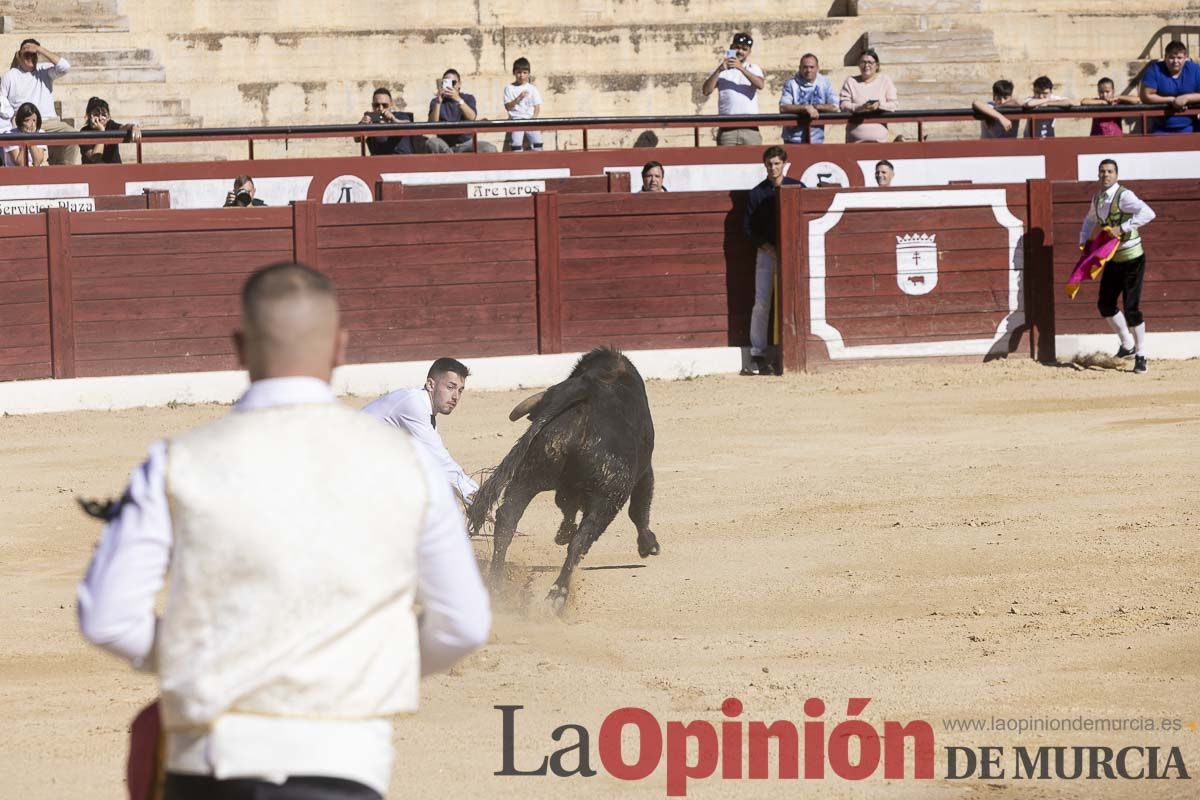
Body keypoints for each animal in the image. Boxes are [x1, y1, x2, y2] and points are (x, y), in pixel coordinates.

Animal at [465, 347, 657, 609]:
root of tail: (587, 392)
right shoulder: (643, 470)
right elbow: (639, 508)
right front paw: (649, 545)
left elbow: (566, 506)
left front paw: (562, 533)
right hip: (607, 497)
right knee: (581, 541)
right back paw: (557, 595)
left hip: (529, 473)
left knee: (507, 520)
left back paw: (496, 586)